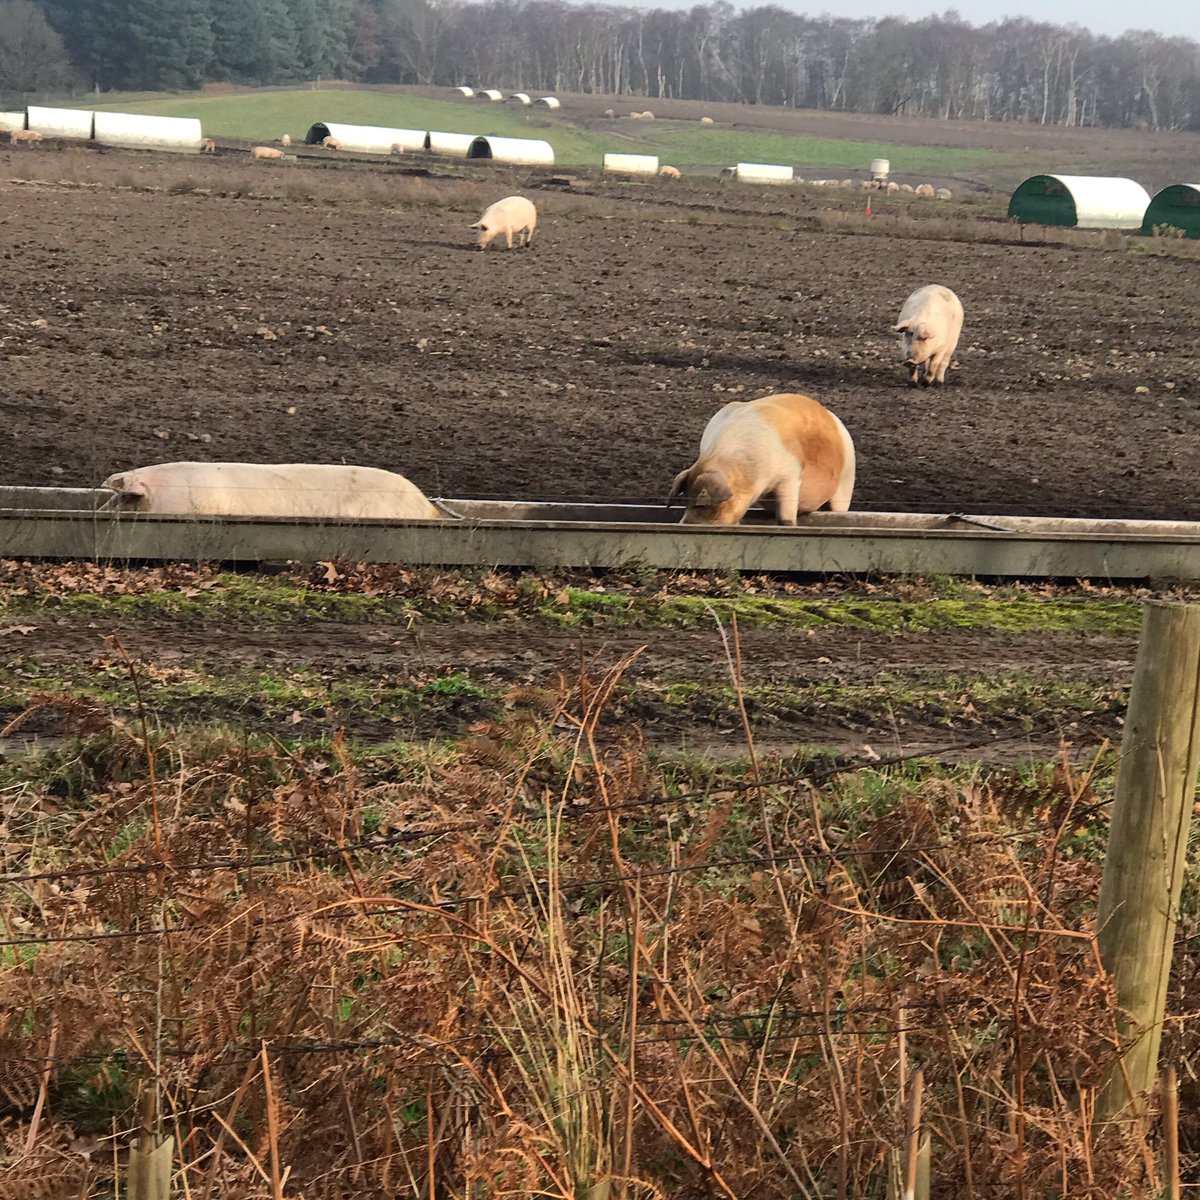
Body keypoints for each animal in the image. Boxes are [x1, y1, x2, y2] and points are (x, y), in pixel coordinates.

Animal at [666, 393, 855, 526]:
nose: (685, 524)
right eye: (686, 501)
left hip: (846, 483)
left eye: (701, 505)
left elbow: (786, 515)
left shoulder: (790, 474)